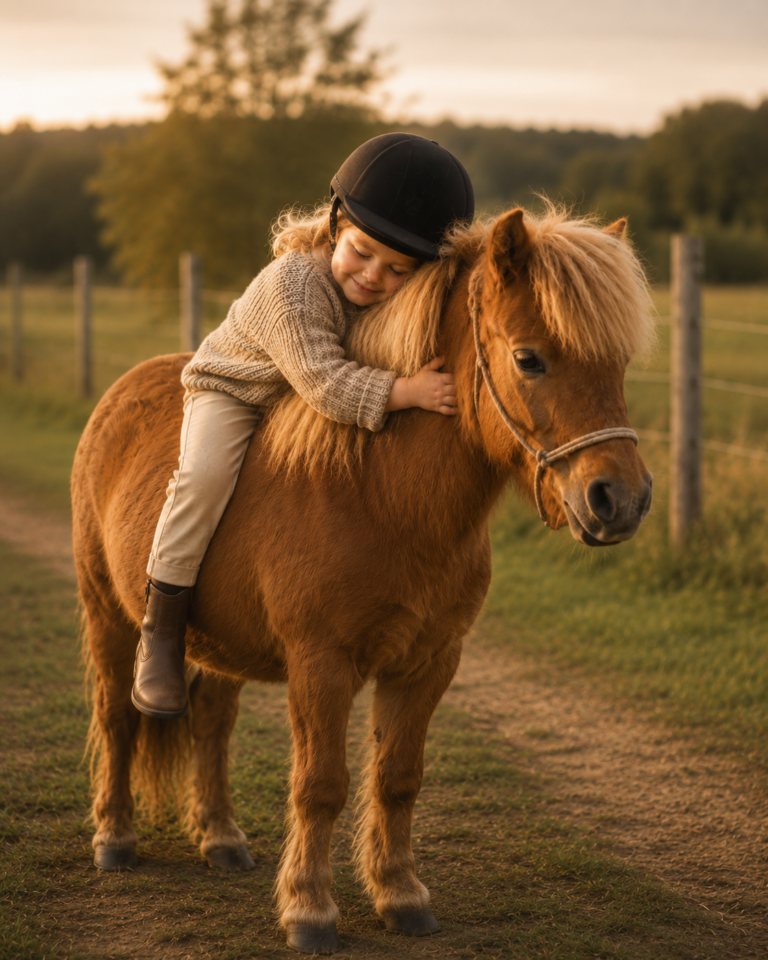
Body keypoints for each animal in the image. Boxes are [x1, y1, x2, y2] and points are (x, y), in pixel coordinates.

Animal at [72, 206, 655, 955]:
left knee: (212, 724)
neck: (377, 495)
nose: (621, 500)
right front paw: (309, 909)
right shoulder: (322, 665)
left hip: (220, 651)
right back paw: (114, 837)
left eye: (619, 364)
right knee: (117, 715)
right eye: (530, 358)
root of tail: (124, 390)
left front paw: (400, 895)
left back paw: (221, 837)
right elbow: (321, 784)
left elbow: (397, 778)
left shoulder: (428, 663)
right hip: (108, 614)